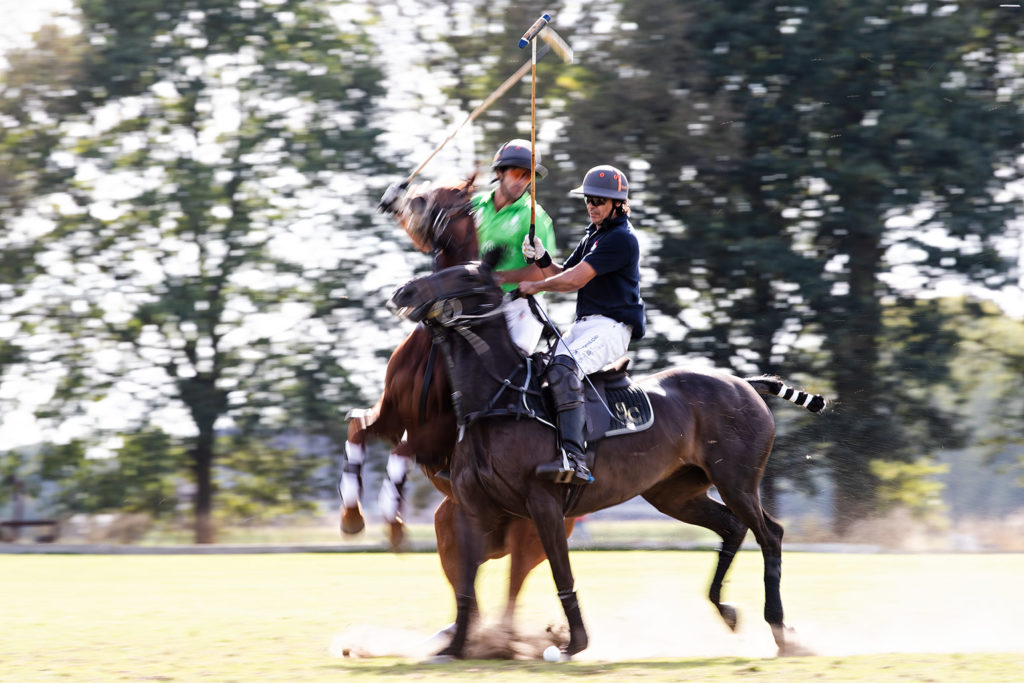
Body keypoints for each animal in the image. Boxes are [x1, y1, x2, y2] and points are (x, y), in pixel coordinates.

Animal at [339, 178, 573, 630]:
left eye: (445, 201)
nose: (396, 197)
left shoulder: (438, 433)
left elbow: (400, 451)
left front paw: (393, 522)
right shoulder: (391, 414)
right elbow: (358, 428)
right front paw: (352, 516)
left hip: (533, 530)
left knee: (513, 588)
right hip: (450, 526)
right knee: (469, 585)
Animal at [387, 252, 827, 663]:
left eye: (464, 276)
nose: (404, 291)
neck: (500, 399)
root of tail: (745, 383)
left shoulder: (543, 503)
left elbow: (560, 571)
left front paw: (573, 643)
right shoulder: (472, 508)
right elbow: (466, 582)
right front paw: (455, 647)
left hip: (736, 481)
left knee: (770, 534)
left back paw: (781, 631)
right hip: (675, 493)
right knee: (733, 528)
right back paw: (726, 609)